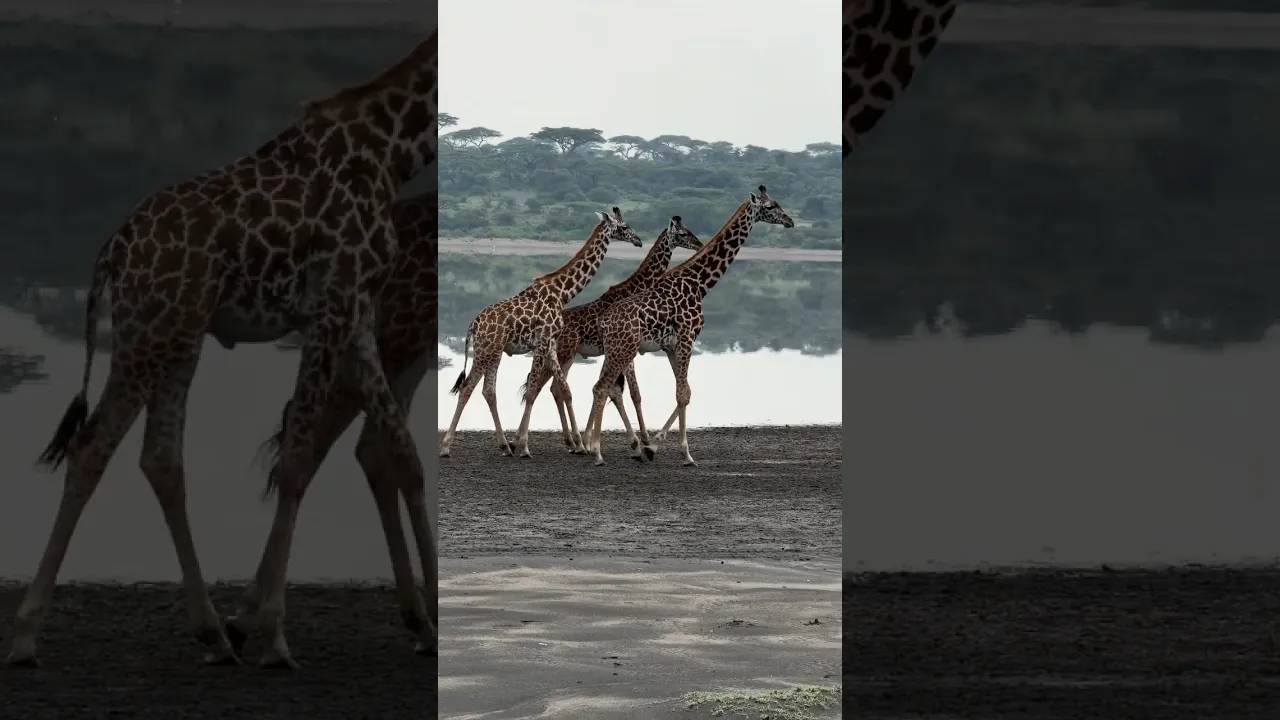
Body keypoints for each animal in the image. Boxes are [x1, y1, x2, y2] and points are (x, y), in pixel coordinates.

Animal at [6, 35, 437, 669]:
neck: (389, 153)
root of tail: (114, 250)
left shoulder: (358, 316)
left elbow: (402, 455)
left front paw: (431, 622)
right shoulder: (329, 308)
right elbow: (298, 460)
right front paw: (275, 636)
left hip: (179, 340)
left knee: (160, 458)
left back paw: (211, 630)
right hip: (148, 335)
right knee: (92, 448)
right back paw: (27, 635)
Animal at [438, 207, 643, 459]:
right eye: (624, 226)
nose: (638, 241)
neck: (562, 293)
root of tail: (473, 325)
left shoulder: (551, 343)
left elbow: (561, 388)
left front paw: (576, 443)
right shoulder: (543, 340)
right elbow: (539, 390)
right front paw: (529, 446)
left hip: (494, 352)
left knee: (489, 391)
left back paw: (504, 445)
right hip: (486, 351)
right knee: (467, 388)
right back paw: (446, 446)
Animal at [538, 216, 703, 459]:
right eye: (683, 233)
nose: (699, 244)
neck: (634, 288)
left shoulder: (616, 352)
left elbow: (612, 391)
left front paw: (594, 442)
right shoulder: (624, 352)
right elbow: (631, 393)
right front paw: (641, 442)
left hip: (565, 356)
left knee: (552, 388)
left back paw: (570, 442)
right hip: (565, 353)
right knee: (553, 388)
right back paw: (569, 442)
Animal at [582, 187, 794, 466]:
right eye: (770, 206)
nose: (790, 221)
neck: (699, 284)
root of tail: (604, 322)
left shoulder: (672, 346)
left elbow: (686, 391)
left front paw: (654, 447)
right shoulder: (687, 338)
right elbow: (682, 393)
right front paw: (682, 452)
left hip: (616, 351)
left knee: (604, 388)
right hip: (623, 350)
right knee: (601, 388)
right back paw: (596, 451)